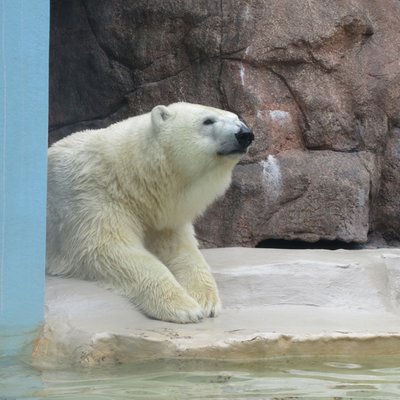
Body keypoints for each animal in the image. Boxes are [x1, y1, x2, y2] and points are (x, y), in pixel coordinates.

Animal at [46, 101, 253, 324]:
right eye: (208, 121)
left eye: (238, 118)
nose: (245, 134)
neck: (128, 176)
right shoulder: (92, 196)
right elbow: (109, 249)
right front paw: (184, 307)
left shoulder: (162, 215)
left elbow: (183, 249)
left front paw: (206, 300)